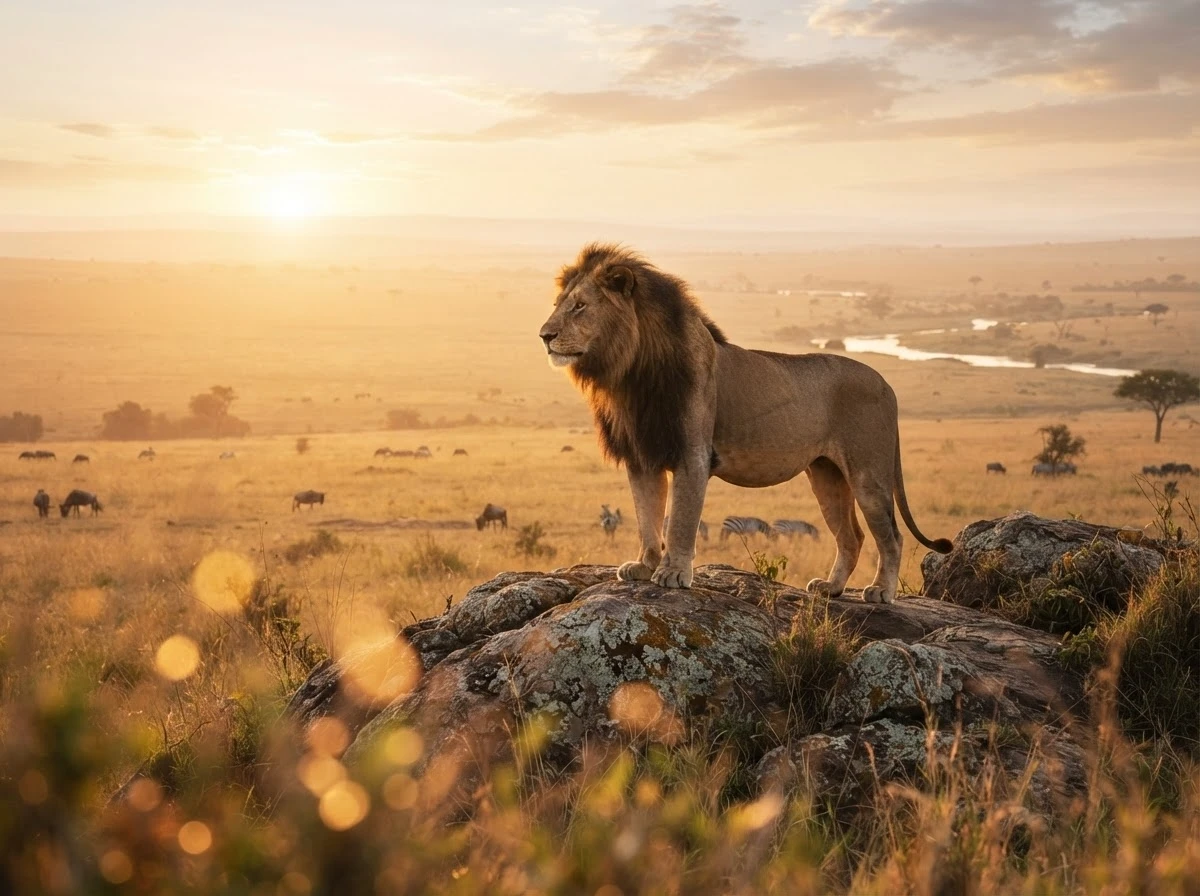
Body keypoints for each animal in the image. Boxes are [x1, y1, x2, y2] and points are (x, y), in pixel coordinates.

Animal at [538, 243, 953, 603]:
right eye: (558, 305)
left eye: (580, 306)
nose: (544, 335)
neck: (631, 373)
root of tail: (886, 384)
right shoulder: (642, 457)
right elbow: (647, 516)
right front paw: (643, 566)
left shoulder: (693, 454)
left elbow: (680, 520)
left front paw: (673, 573)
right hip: (827, 476)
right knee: (851, 536)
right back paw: (831, 588)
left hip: (868, 474)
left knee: (891, 536)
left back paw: (881, 592)